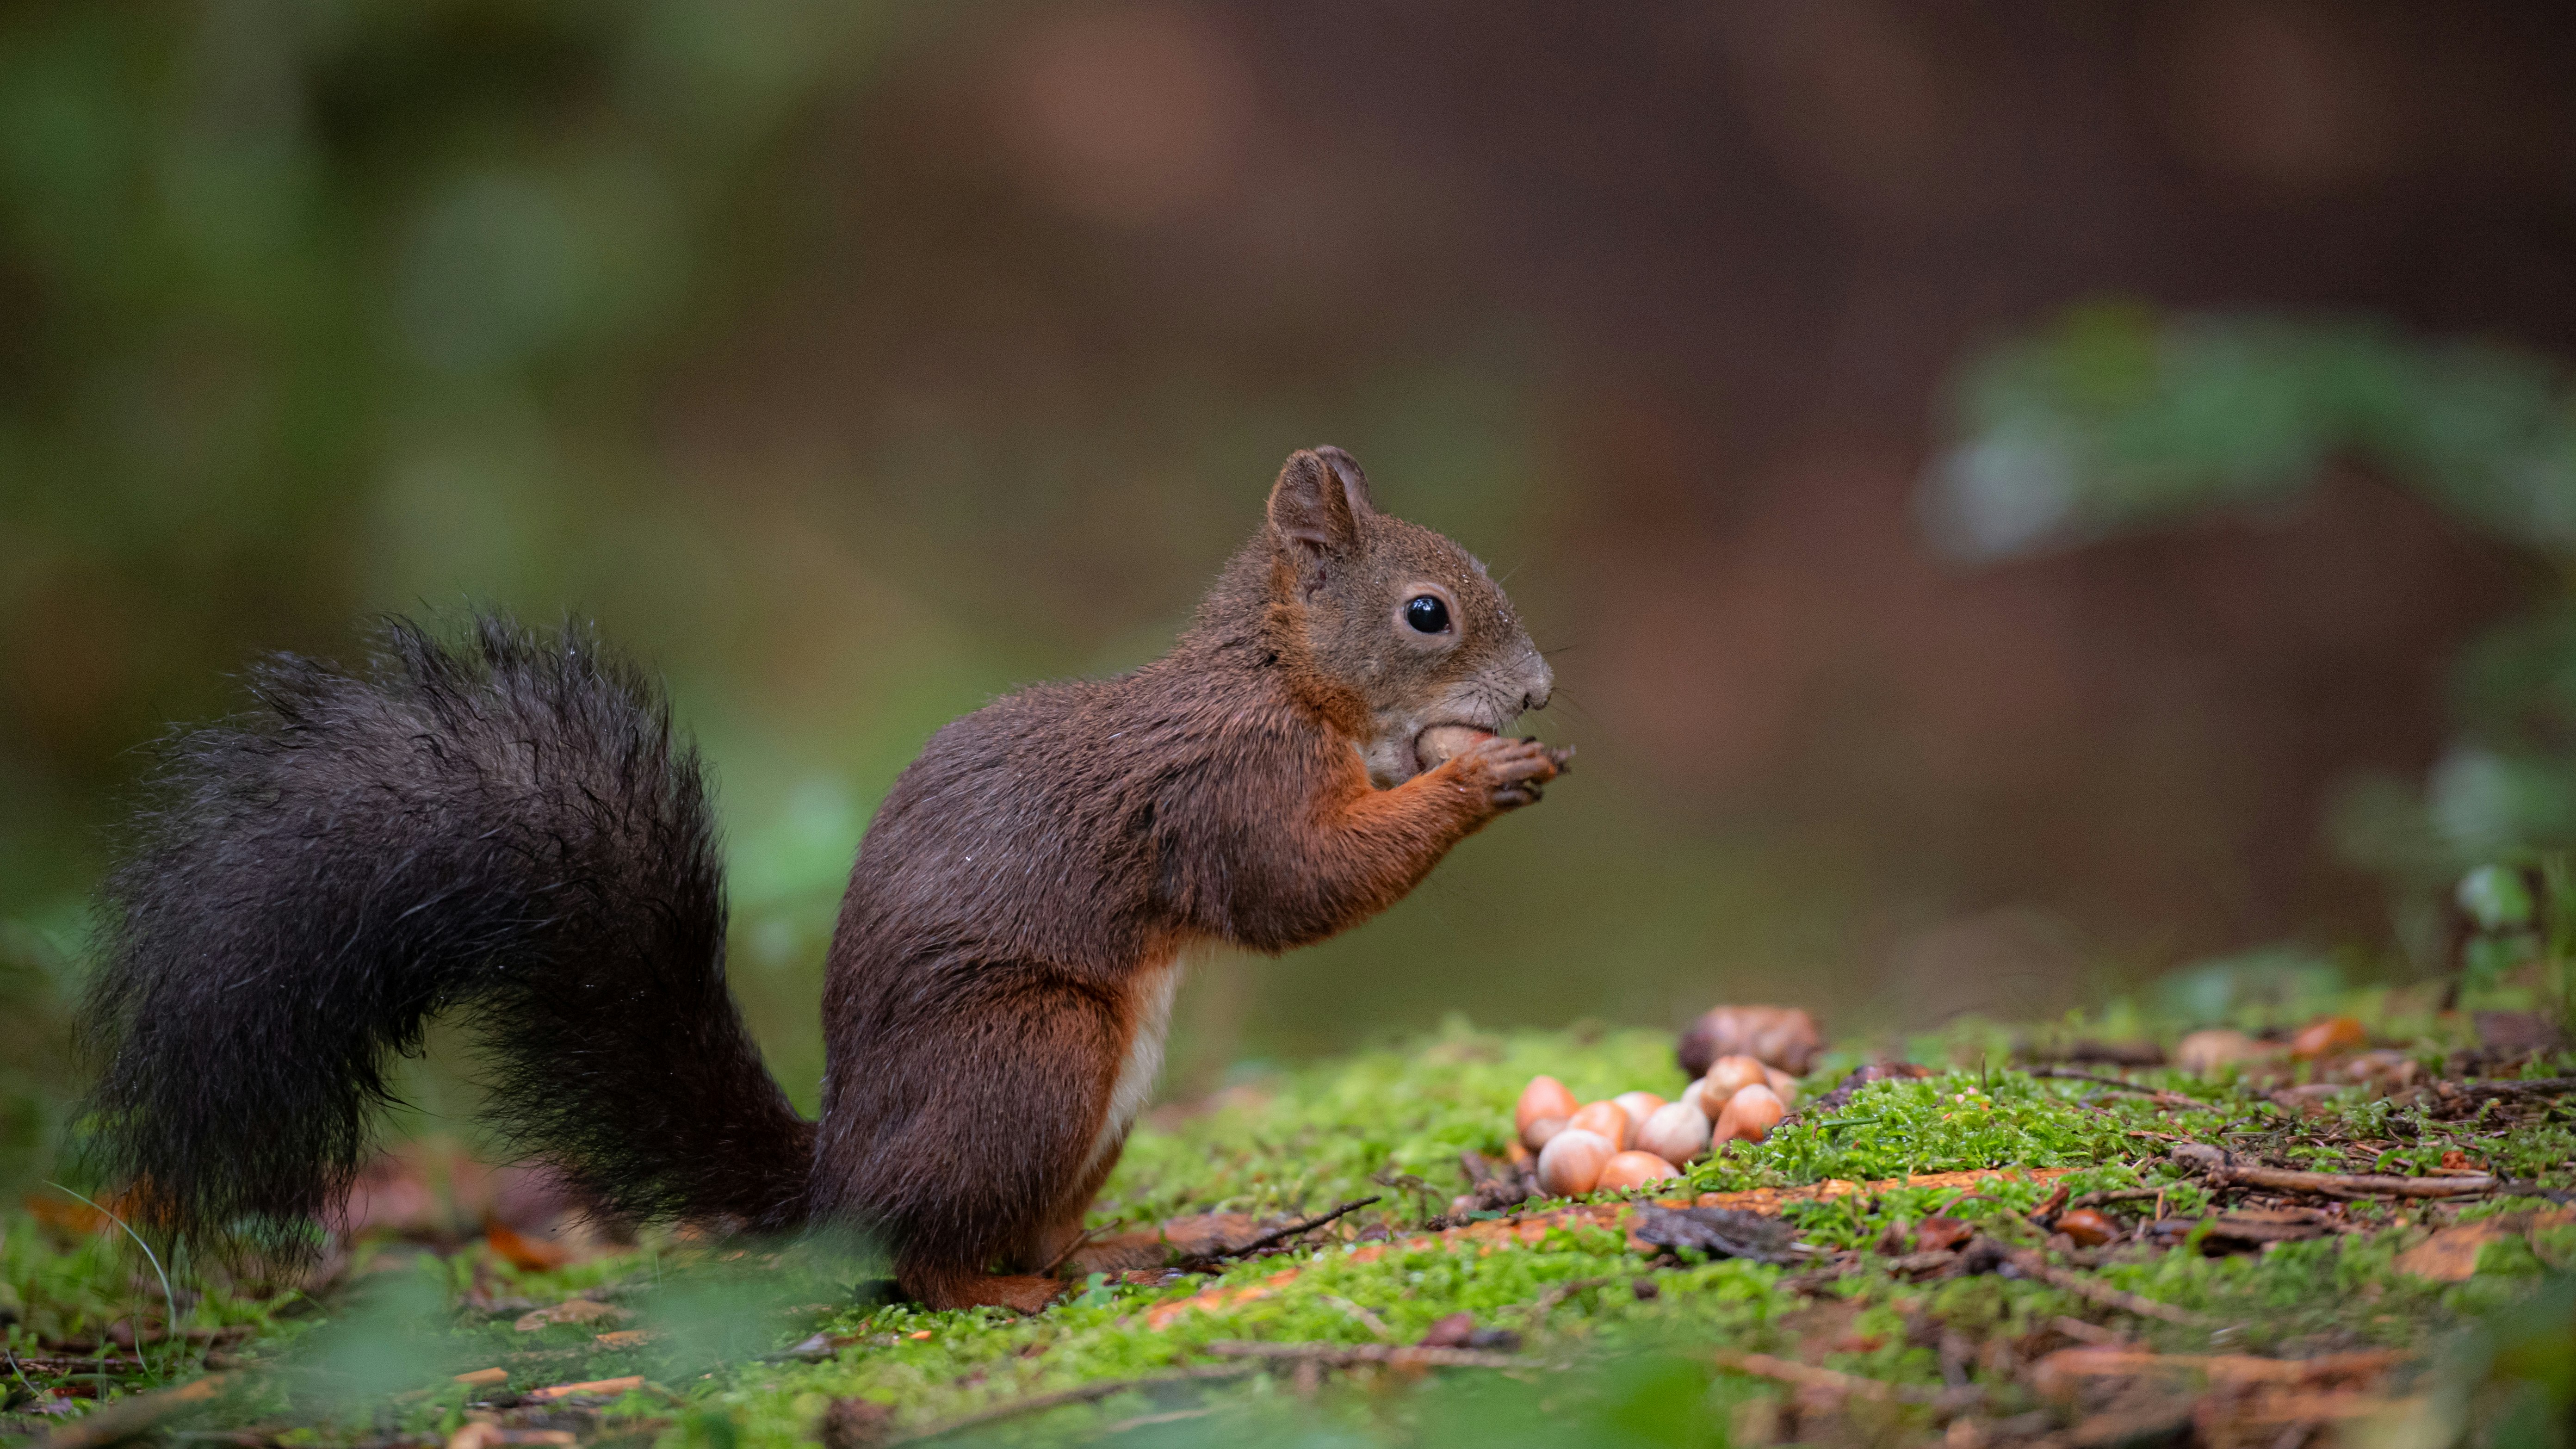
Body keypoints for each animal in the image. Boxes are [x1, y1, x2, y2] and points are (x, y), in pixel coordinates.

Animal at [86, 448, 1566, 1310]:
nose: (1541, 689)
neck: (1280, 680)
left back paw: (1139, 1247)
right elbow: (1293, 886)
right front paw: (1473, 781)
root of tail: (837, 1180)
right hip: (1029, 1050)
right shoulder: (1224, 786)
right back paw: (997, 1295)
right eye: (1427, 613)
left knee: (1027, 1232)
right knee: (924, 1258)